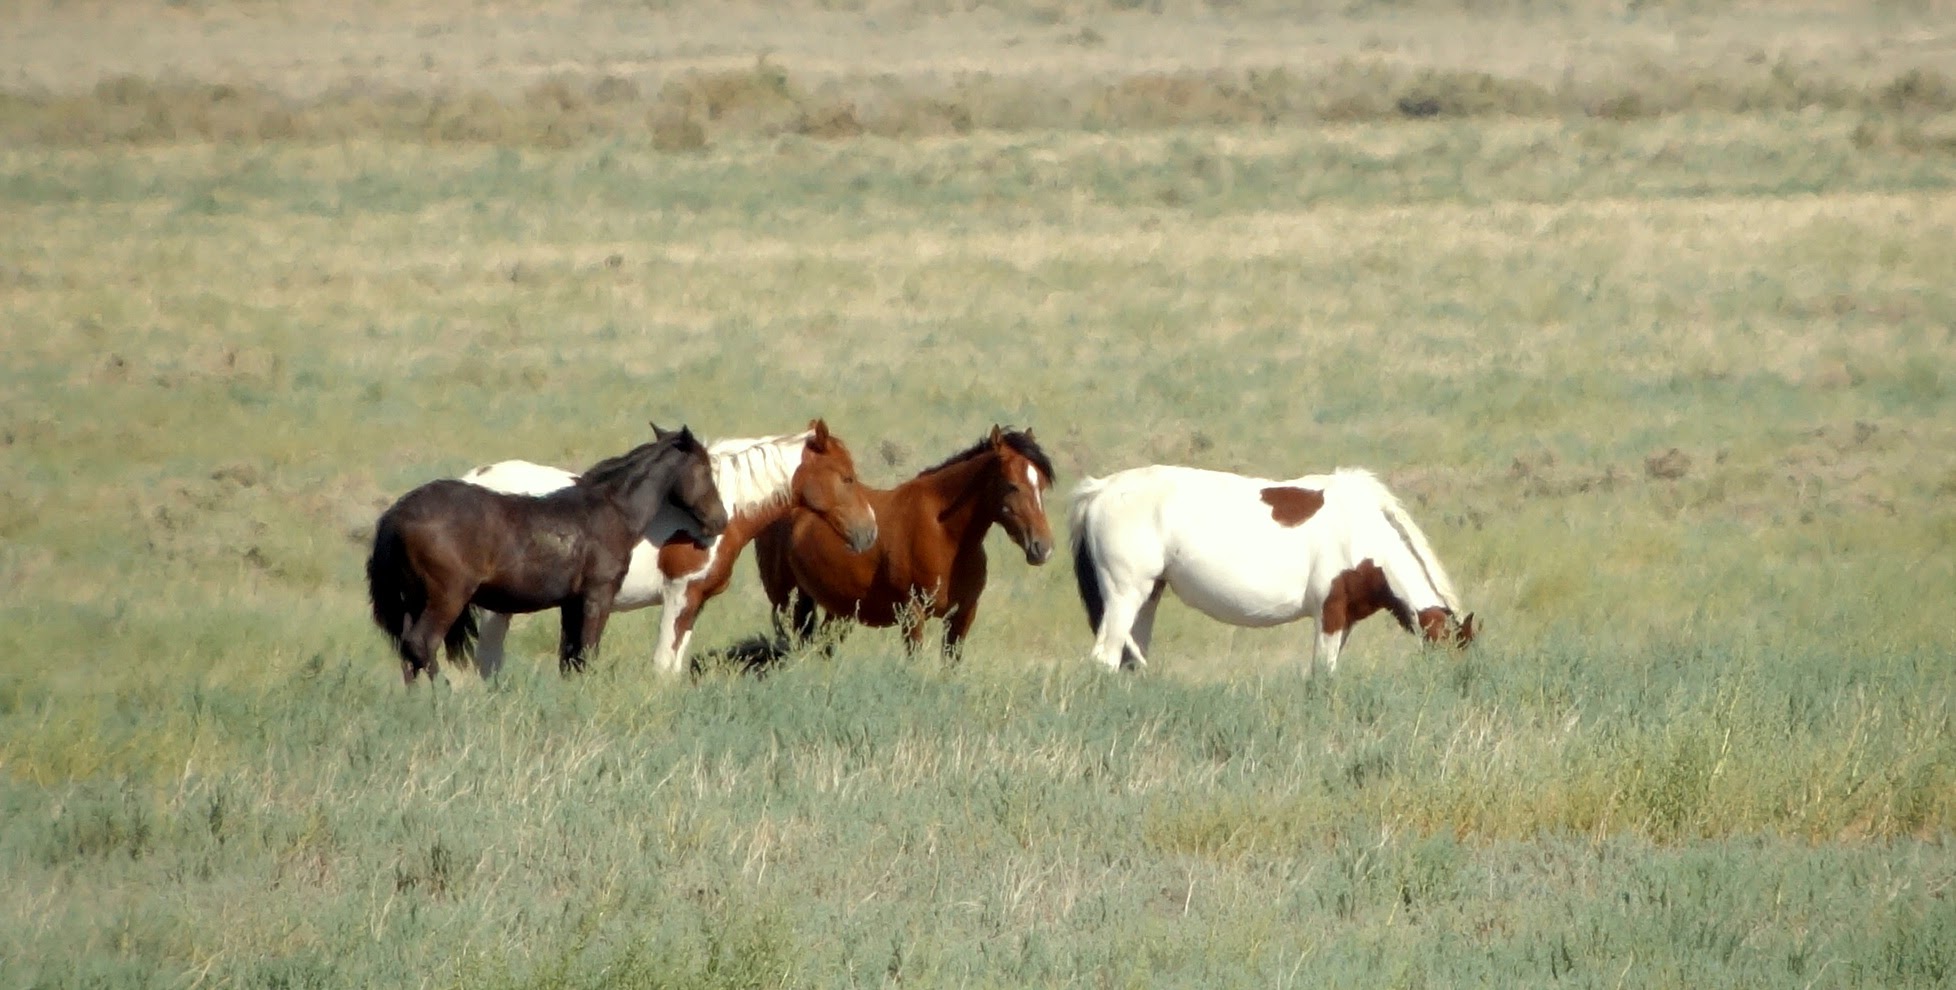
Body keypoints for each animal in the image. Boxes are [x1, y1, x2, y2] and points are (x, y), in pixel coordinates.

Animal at [366, 425, 728, 684]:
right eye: (705, 469)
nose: (721, 520)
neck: (610, 510)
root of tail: (397, 513)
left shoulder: (571, 602)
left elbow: (570, 657)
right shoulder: (598, 596)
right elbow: (587, 651)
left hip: (414, 599)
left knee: (408, 651)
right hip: (447, 598)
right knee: (421, 644)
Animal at [459, 419, 878, 677]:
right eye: (847, 477)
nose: (869, 532)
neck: (718, 506)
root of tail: (474, 478)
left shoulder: (695, 602)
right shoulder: (678, 595)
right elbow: (662, 666)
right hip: (496, 609)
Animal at [755, 426, 1057, 660]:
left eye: (1041, 485)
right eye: (1012, 485)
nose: (1043, 547)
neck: (945, 534)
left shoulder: (962, 616)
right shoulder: (913, 615)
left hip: (834, 609)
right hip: (784, 601)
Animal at [1069, 464, 1475, 675]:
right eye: (1451, 648)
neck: (1362, 530)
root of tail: (1099, 490)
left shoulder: (1345, 620)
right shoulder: (1329, 614)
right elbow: (1321, 672)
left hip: (1148, 596)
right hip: (1125, 595)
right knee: (1106, 658)